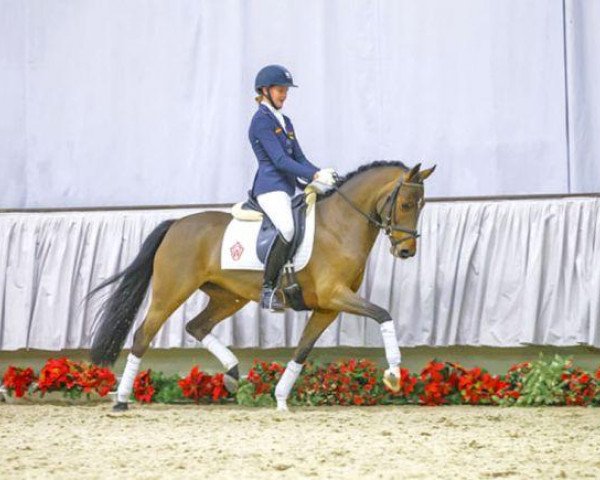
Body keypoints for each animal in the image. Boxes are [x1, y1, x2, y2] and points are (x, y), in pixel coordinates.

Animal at [89, 160, 434, 408]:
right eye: (405, 204)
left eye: (421, 206)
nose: (407, 251)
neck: (340, 225)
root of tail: (176, 224)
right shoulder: (334, 295)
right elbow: (383, 314)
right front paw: (394, 374)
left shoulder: (328, 307)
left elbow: (302, 350)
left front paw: (280, 399)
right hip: (170, 292)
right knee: (143, 334)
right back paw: (122, 399)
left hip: (228, 297)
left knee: (197, 326)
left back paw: (232, 375)